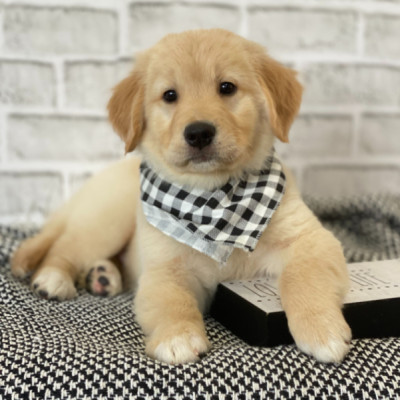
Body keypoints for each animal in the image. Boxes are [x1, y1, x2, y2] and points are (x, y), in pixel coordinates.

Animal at [11, 29, 350, 364]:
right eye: (170, 95)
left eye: (227, 87)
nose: (198, 133)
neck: (215, 201)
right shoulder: (163, 266)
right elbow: (171, 300)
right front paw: (178, 337)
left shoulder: (309, 240)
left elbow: (303, 278)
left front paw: (322, 328)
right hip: (106, 221)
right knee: (64, 246)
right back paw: (54, 278)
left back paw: (103, 276)